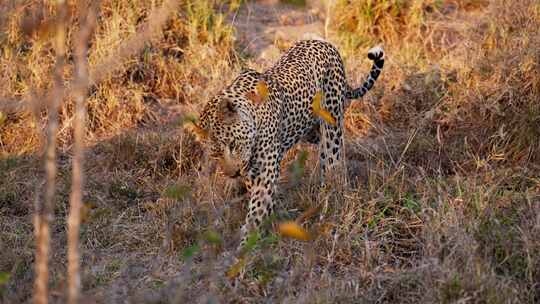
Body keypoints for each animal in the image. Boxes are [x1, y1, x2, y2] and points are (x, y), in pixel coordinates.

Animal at [190, 39, 384, 248]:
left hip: (331, 124)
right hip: (311, 131)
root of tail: (325, 43)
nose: (233, 174)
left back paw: (331, 204)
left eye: (232, 145)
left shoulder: (265, 173)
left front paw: (245, 247)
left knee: (332, 160)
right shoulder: (252, 172)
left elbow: (256, 211)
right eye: (215, 154)